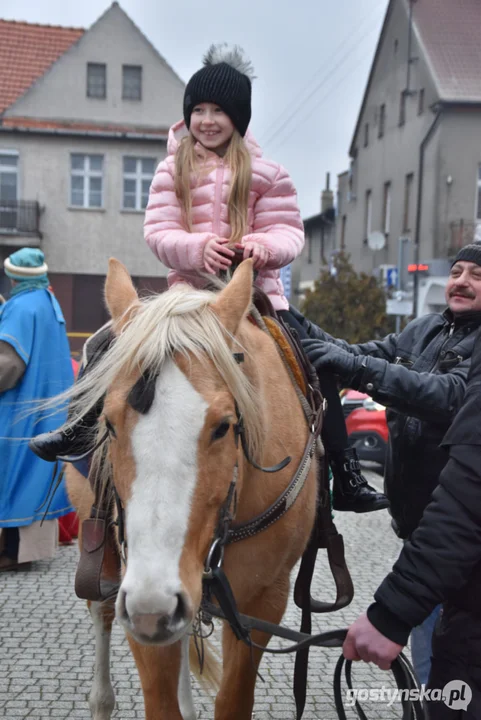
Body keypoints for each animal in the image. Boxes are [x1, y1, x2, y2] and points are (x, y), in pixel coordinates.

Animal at [64, 258, 318, 720]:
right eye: (108, 423)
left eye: (224, 426)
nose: (153, 607)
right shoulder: (138, 595)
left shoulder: (263, 603)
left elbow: (232, 699)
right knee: (102, 610)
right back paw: (101, 699)